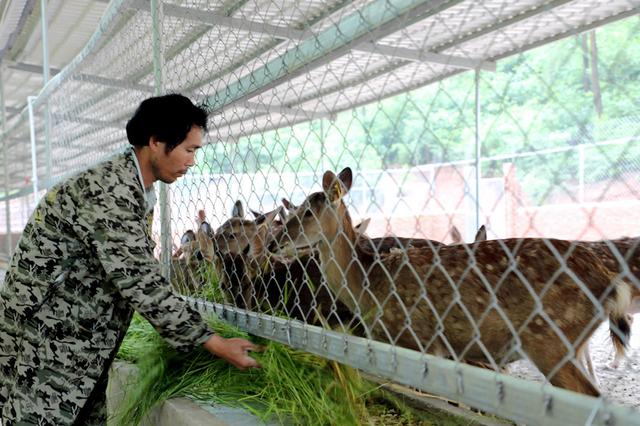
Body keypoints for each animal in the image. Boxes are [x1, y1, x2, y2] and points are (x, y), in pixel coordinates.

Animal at [268, 166, 632, 396]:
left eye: (306, 213)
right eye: (292, 211)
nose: (273, 244)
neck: (368, 287)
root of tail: (608, 280)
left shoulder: (415, 339)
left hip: (549, 338)